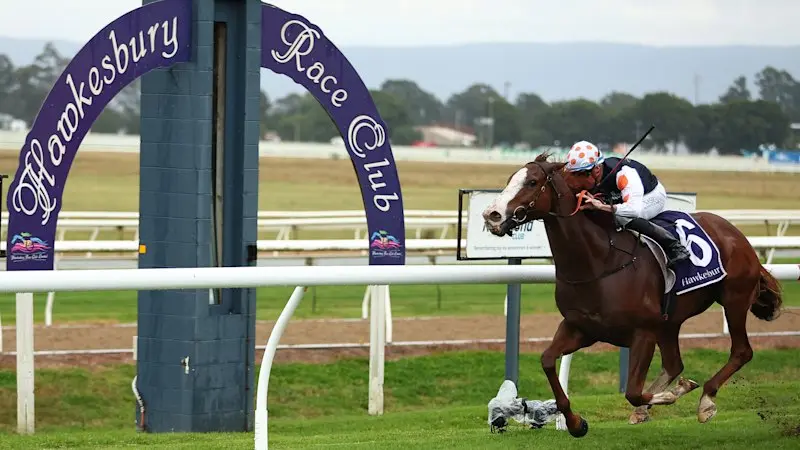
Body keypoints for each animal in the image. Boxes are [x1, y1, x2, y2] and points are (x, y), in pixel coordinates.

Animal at [480, 152, 783, 437]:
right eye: (509, 179)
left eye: (532, 182)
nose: (492, 215)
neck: (599, 262)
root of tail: (736, 233)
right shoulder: (580, 328)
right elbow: (547, 361)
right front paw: (576, 423)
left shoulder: (643, 333)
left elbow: (633, 392)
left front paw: (672, 394)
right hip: (670, 321)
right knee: (674, 363)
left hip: (734, 298)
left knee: (741, 351)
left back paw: (706, 400)